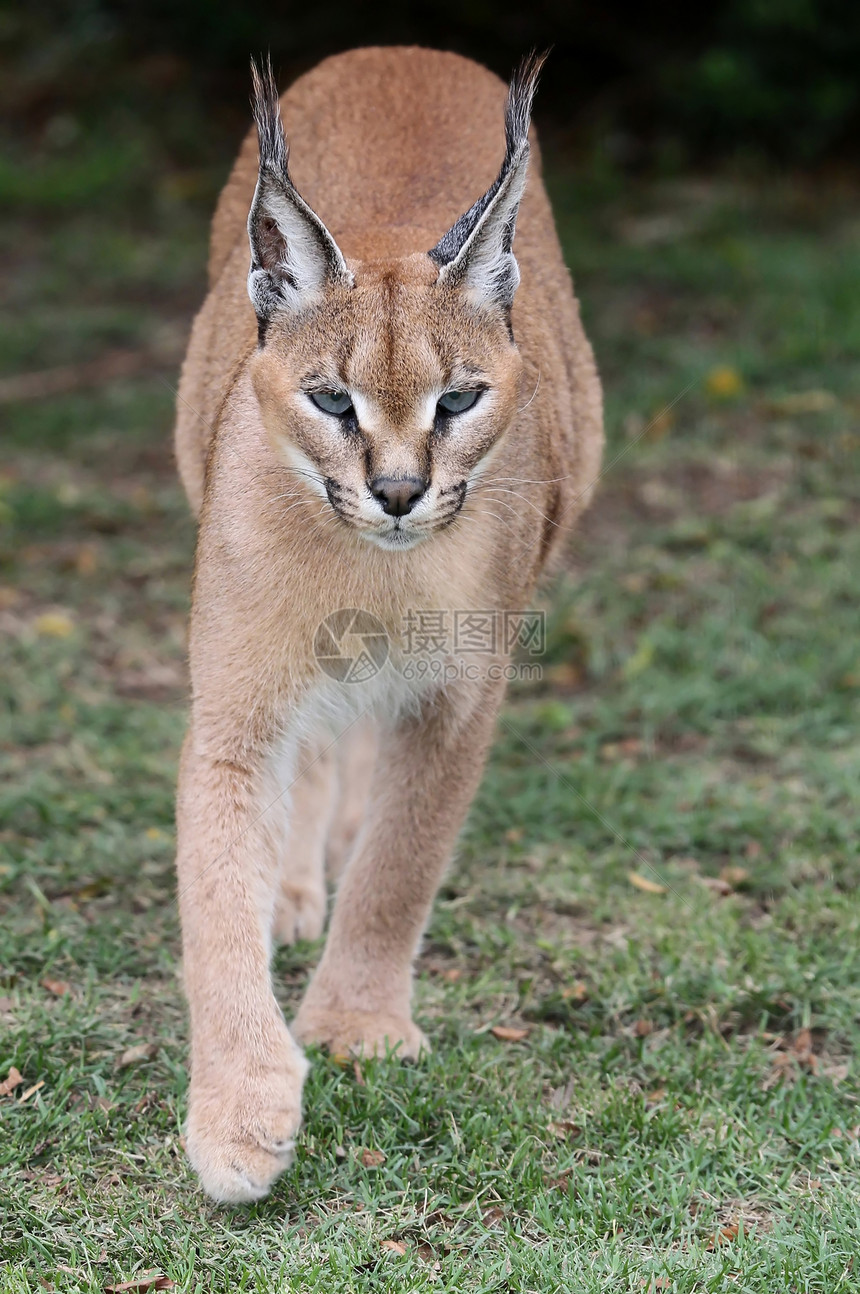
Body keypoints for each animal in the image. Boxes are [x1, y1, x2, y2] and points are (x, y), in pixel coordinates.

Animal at [173, 47, 602, 1200]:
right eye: (331, 401)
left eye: (458, 402)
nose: (401, 492)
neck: (371, 573)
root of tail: (402, 50)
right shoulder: (235, 696)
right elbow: (212, 896)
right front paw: (239, 1110)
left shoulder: (461, 696)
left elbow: (405, 857)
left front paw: (355, 1023)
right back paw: (292, 886)